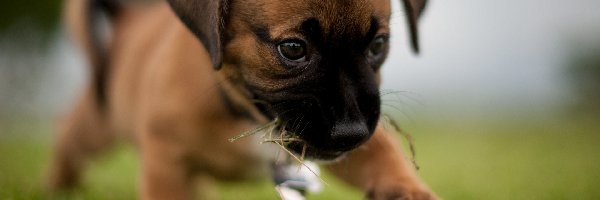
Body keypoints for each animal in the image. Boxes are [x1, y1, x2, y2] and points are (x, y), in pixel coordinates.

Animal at [49, 0, 438, 198]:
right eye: (293, 48)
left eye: (378, 45)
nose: (352, 133)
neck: (245, 113)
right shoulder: (165, 164)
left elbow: (386, 159)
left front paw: (410, 191)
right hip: (94, 128)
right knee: (68, 142)